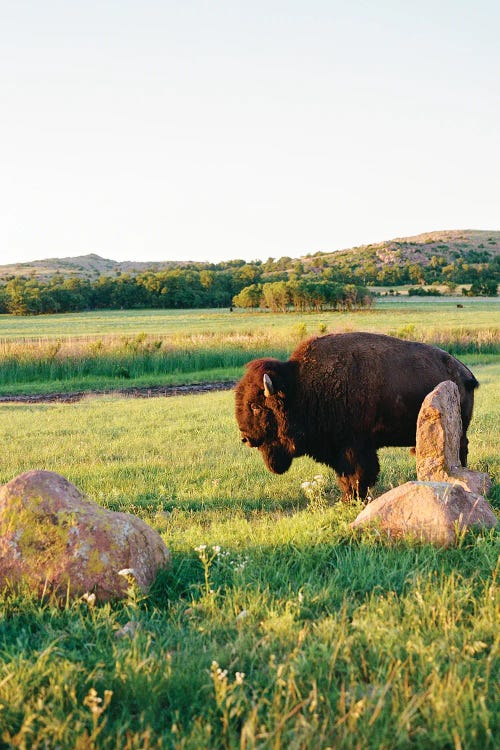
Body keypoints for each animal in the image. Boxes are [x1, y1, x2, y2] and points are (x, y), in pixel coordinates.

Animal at [235, 332, 478, 501]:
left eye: (256, 406)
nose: (245, 438)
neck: (300, 386)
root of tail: (464, 371)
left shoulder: (355, 447)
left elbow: (360, 475)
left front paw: (354, 499)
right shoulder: (339, 451)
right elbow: (346, 477)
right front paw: (347, 499)